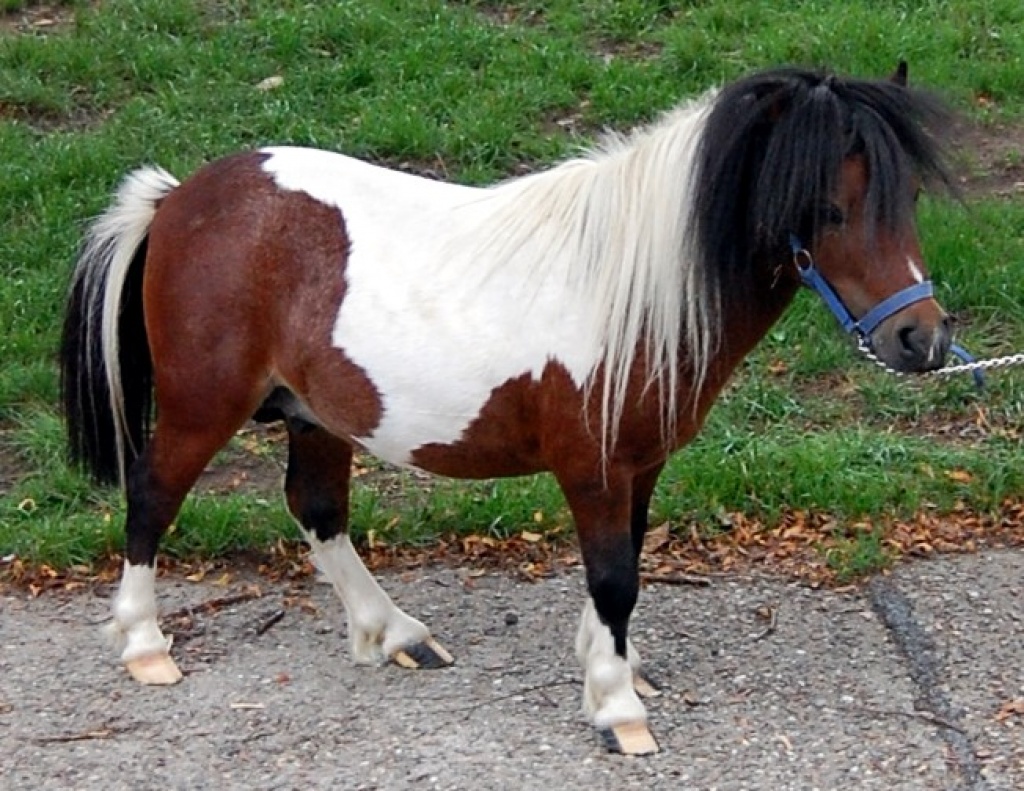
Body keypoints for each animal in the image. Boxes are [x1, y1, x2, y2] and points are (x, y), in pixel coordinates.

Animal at [61, 63, 958, 754]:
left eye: (909, 196)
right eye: (829, 209)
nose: (922, 338)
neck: (629, 286)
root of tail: (178, 199)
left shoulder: (640, 465)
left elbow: (624, 568)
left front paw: (611, 667)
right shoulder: (594, 468)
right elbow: (615, 577)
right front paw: (617, 707)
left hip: (314, 413)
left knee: (316, 510)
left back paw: (395, 632)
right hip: (202, 406)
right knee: (152, 498)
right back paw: (144, 644)